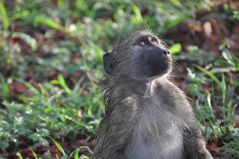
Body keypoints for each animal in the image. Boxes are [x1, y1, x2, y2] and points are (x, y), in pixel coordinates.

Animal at [93, 30, 213, 159]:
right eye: (142, 43)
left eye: (155, 41)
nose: (166, 51)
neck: (147, 94)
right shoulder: (125, 108)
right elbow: (107, 152)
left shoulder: (174, 94)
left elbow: (192, 134)